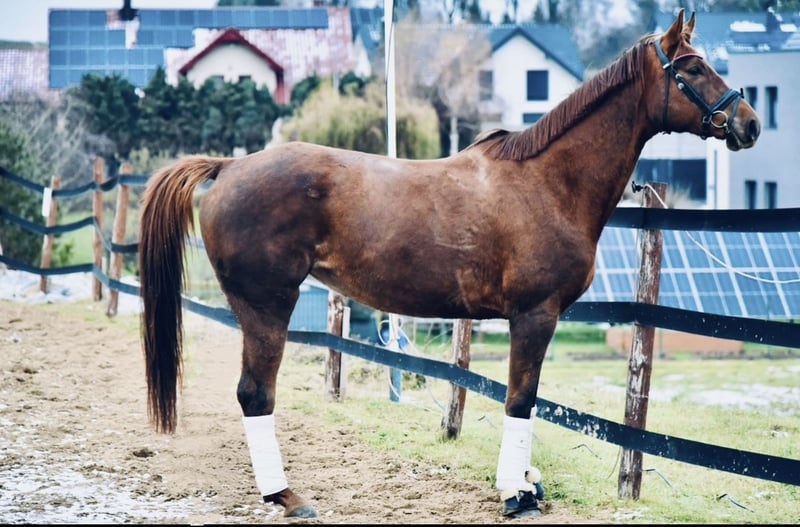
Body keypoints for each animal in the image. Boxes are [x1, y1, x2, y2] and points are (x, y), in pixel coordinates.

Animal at [138, 9, 759, 519]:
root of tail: (229, 167)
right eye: (694, 67)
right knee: (255, 394)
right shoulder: (535, 316)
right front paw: (516, 493)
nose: (749, 123)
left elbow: (525, 399)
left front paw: (528, 483)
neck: (548, 182)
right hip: (268, 306)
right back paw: (287, 496)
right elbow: (521, 399)